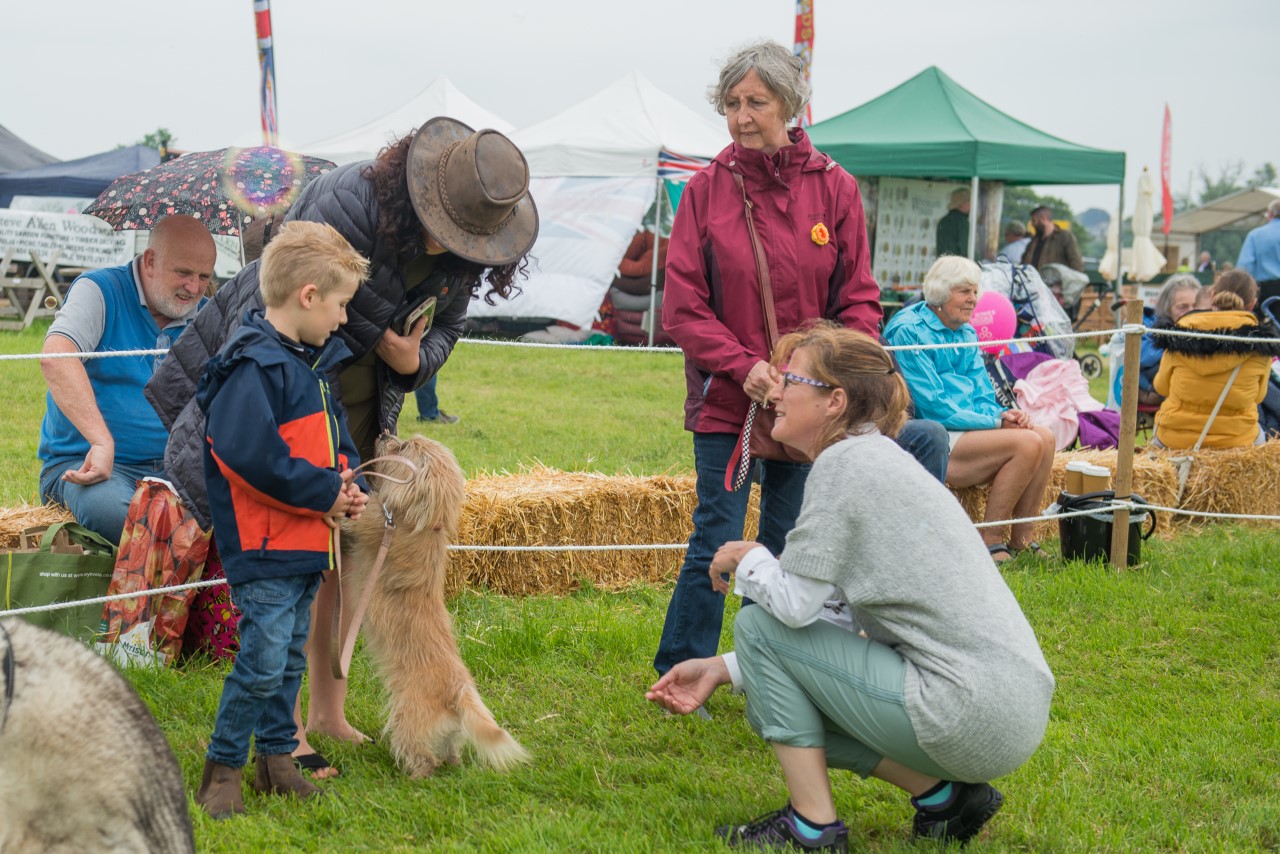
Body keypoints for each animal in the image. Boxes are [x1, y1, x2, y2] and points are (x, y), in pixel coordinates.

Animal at [337, 437, 527, 778]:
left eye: (403, 447)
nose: (383, 435)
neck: (425, 525)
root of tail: (459, 693)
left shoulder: (373, 523)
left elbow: (359, 519)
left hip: (408, 720)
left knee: (420, 755)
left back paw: (413, 776)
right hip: (451, 735)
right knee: (450, 752)